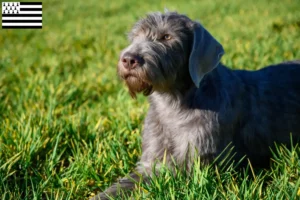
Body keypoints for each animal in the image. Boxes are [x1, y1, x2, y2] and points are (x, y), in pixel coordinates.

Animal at [91, 11, 300, 199]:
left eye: (167, 37)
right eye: (135, 37)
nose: (128, 59)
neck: (172, 105)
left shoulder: (193, 165)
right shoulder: (151, 160)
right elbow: (124, 184)